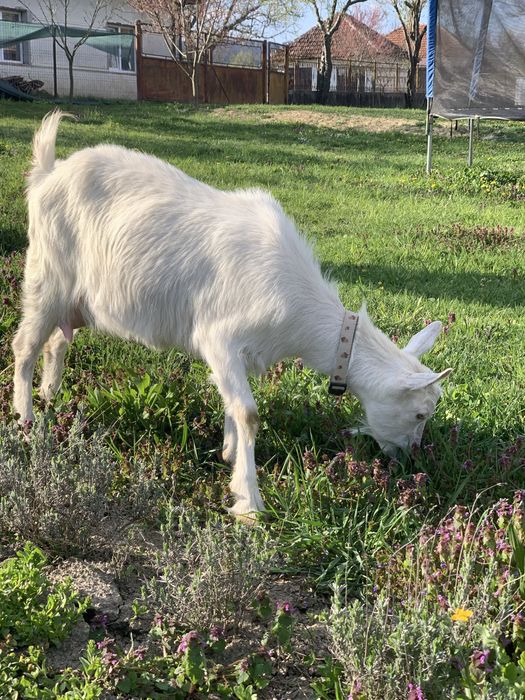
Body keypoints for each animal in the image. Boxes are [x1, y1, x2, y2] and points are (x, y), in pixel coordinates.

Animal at [13, 111, 452, 519]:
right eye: (419, 412)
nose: (411, 458)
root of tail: (48, 172)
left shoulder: (240, 353)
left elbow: (231, 403)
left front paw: (227, 452)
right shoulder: (218, 337)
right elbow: (248, 412)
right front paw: (249, 502)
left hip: (80, 302)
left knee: (57, 340)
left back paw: (50, 396)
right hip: (46, 276)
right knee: (25, 346)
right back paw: (27, 421)